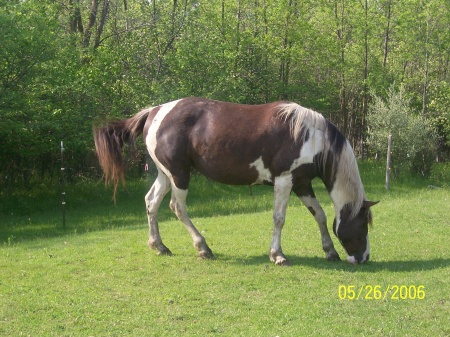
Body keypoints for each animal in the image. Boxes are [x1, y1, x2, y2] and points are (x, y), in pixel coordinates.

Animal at [94, 97, 376, 266]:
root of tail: (154, 111)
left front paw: (330, 251)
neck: (310, 136)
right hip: (180, 174)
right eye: (363, 225)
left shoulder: (302, 183)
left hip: (166, 173)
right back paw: (203, 247)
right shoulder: (284, 181)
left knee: (151, 202)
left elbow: (319, 215)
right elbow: (279, 218)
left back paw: (159, 246)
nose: (363, 258)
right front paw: (277, 255)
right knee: (177, 207)